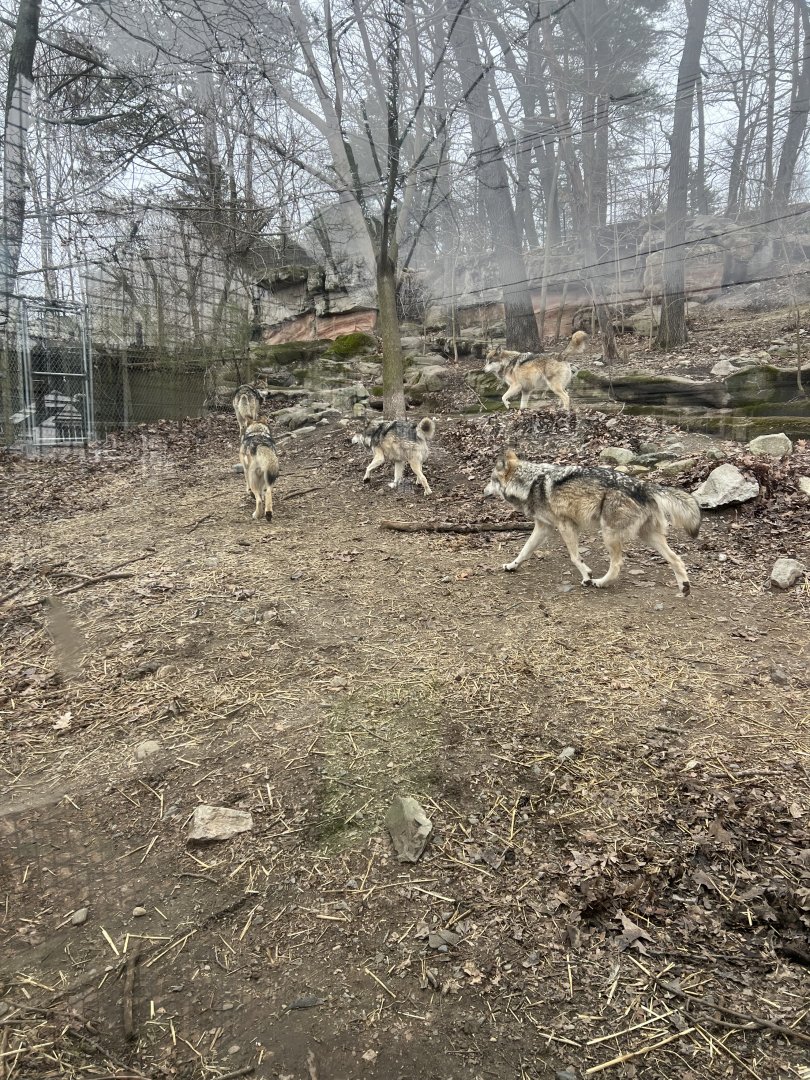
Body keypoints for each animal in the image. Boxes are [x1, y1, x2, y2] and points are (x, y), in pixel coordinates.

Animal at [483, 449, 701, 595]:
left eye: (492, 480)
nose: (483, 491)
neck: (530, 483)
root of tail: (644, 485)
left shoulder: (566, 526)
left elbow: (574, 557)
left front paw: (587, 576)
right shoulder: (544, 527)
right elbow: (524, 550)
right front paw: (512, 566)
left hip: (609, 534)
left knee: (617, 564)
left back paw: (600, 582)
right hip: (648, 536)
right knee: (676, 559)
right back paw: (684, 588)